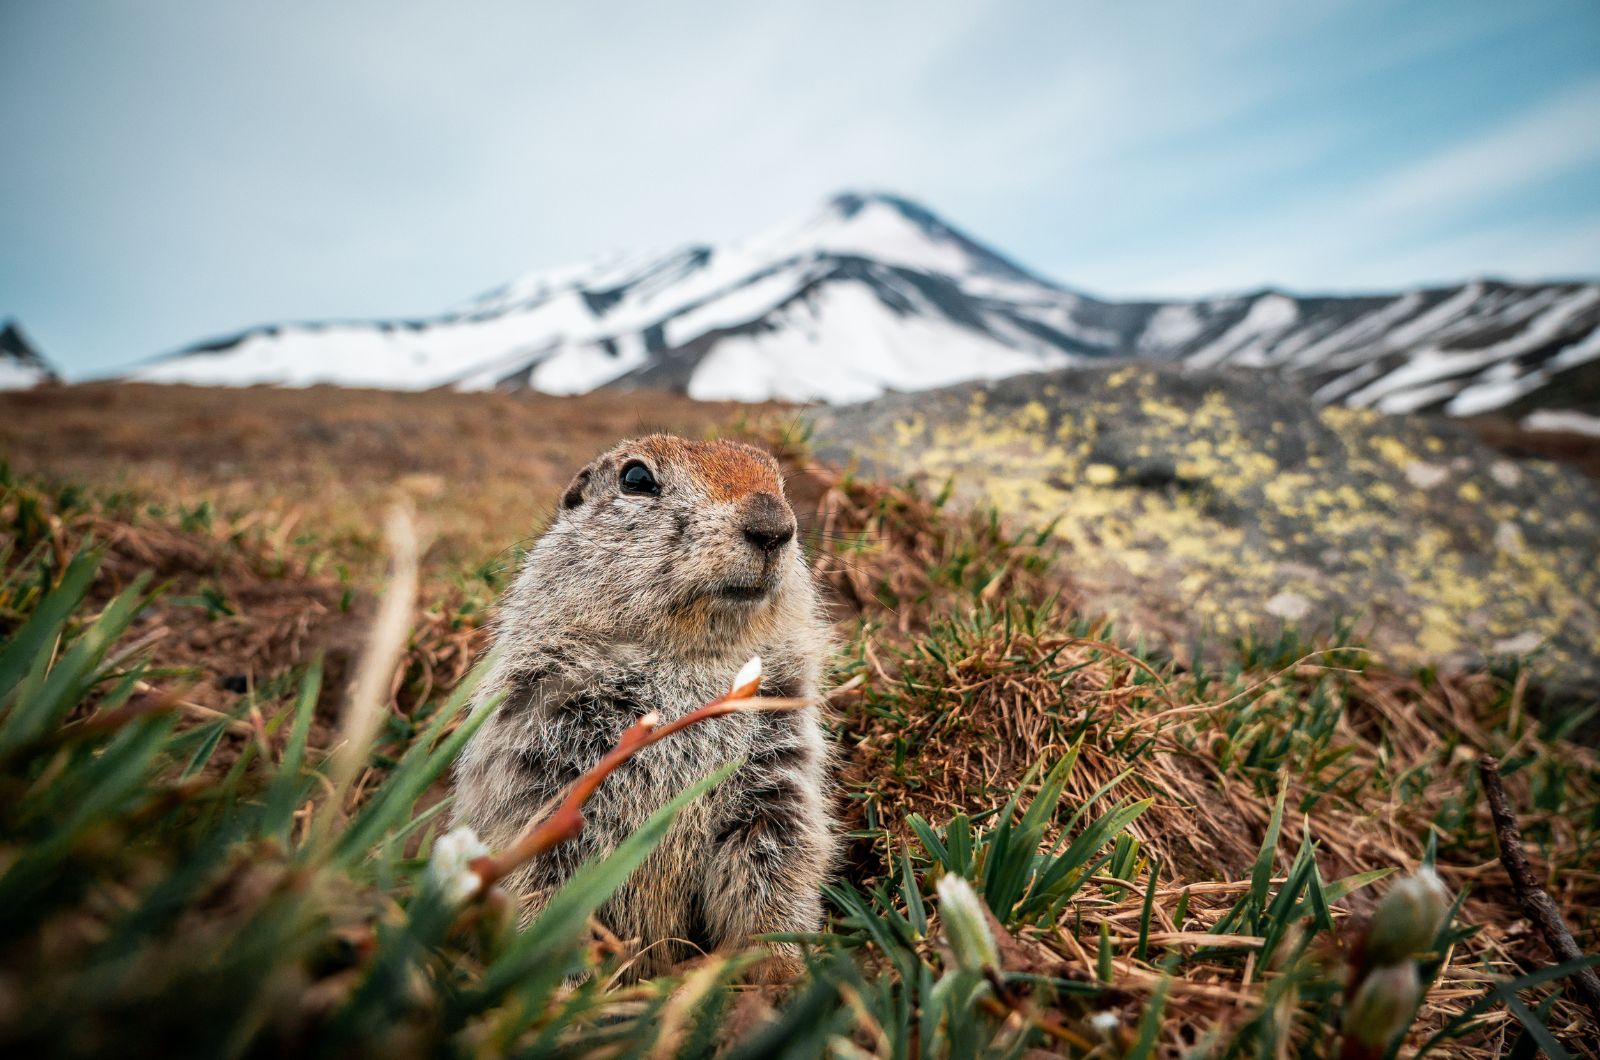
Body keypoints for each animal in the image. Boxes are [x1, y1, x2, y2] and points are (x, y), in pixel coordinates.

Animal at [454, 435, 838, 986]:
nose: (774, 526)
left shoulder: (780, 763)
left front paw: (779, 969)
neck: (687, 660)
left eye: (778, 478)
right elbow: (540, 870)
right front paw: (558, 985)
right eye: (636, 478)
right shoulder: (538, 754)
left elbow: (777, 856)